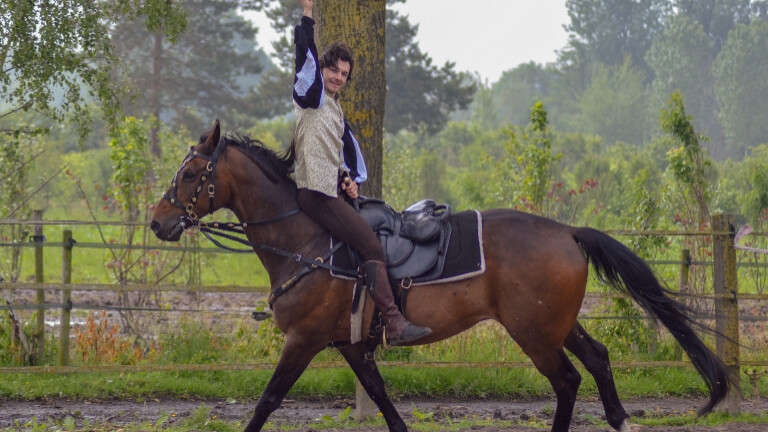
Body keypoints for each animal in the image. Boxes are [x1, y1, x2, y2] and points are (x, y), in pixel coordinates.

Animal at [150, 120, 732, 432]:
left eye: (189, 174)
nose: (158, 222)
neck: (306, 239)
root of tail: (567, 231)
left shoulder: (305, 340)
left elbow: (267, 401)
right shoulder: (349, 344)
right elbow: (382, 398)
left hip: (534, 332)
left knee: (568, 379)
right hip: (556, 324)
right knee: (599, 359)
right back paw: (619, 417)